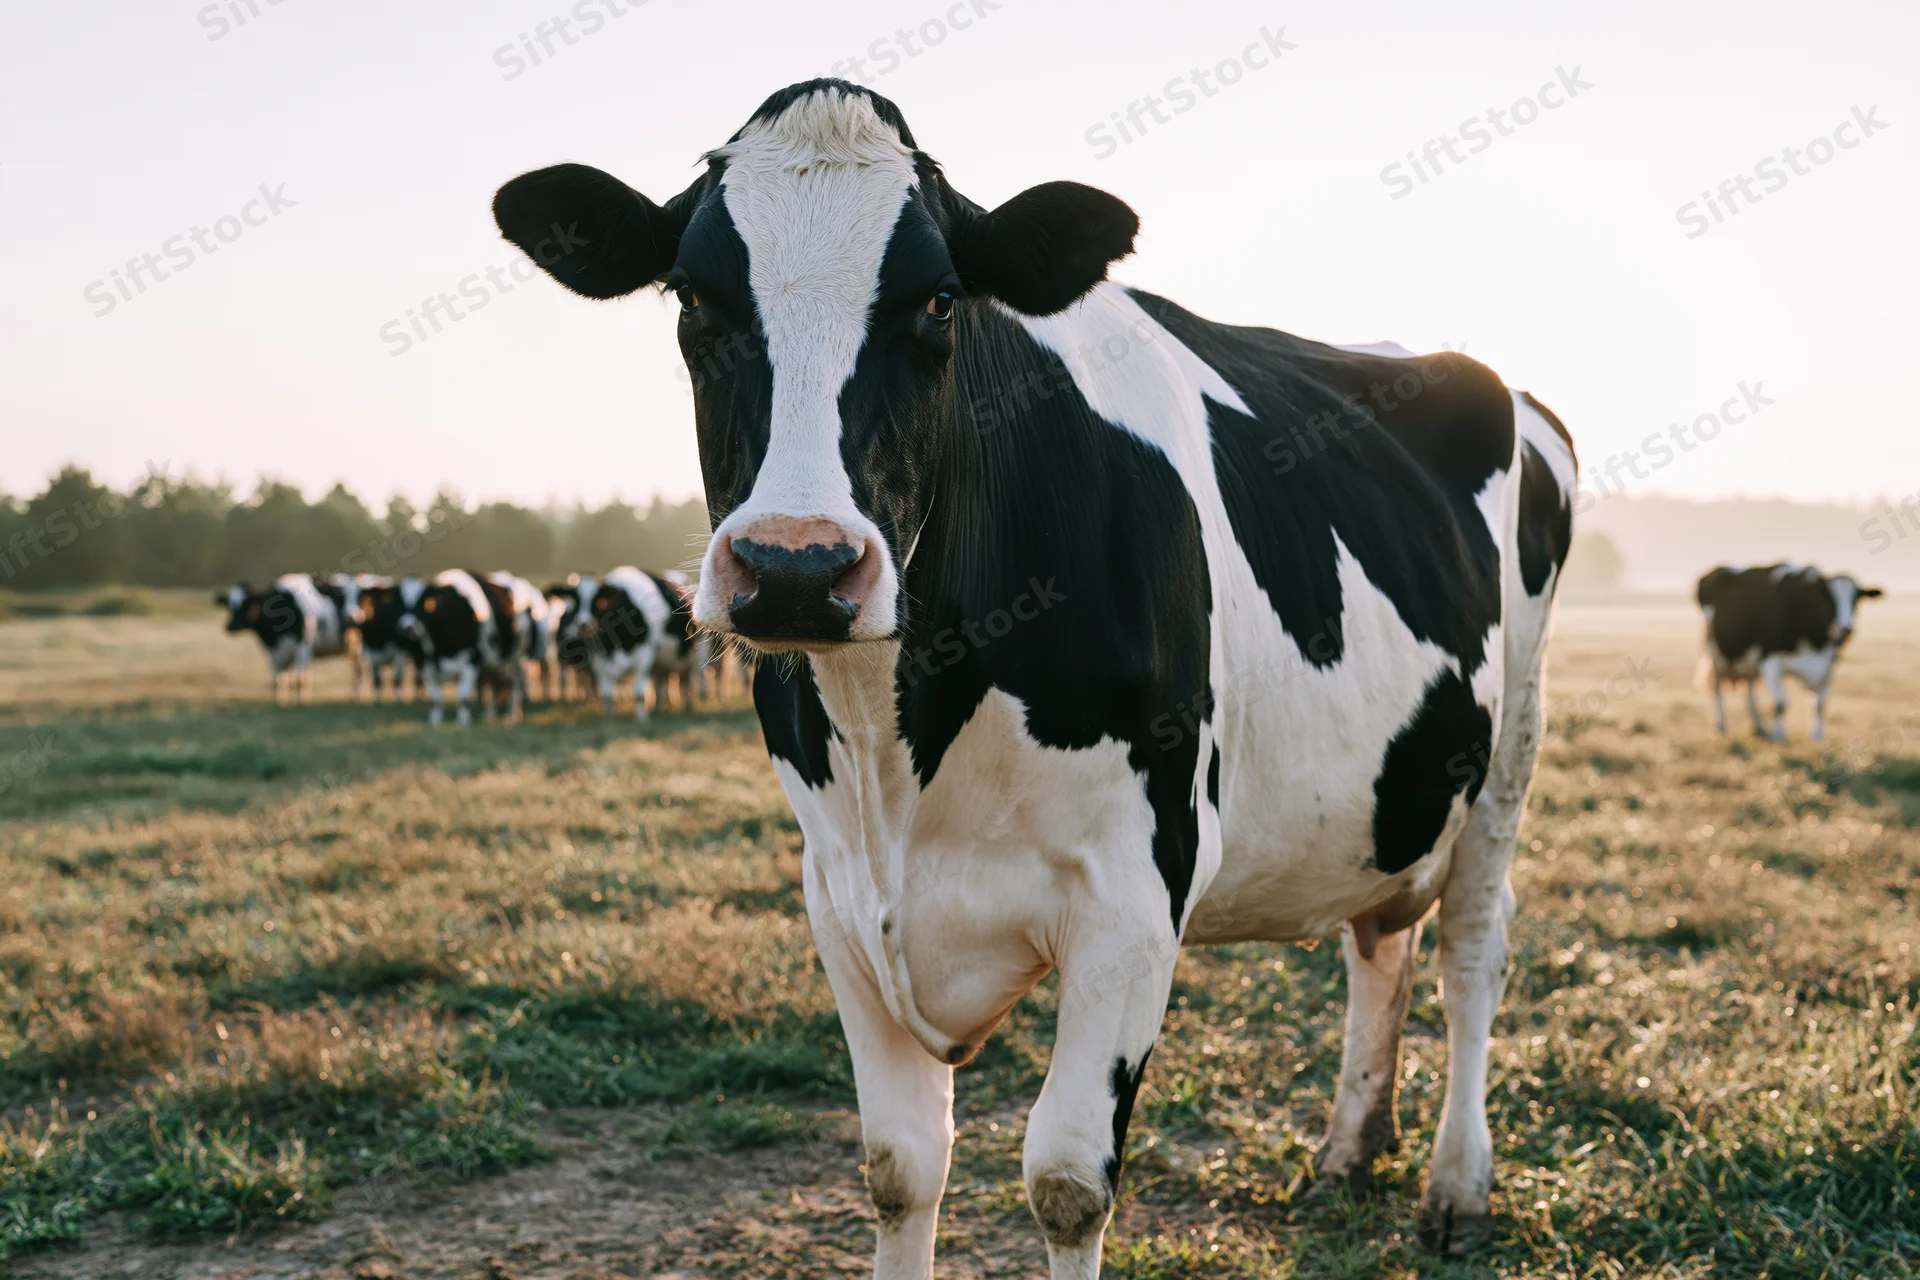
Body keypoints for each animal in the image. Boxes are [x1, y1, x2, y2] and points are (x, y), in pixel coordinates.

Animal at [216, 573, 348, 705]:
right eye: (229, 605)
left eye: (247, 604)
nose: (230, 626)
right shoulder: (274, 653)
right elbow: (278, 681)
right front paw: (279, 703)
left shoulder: (304, 648)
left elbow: (301, 679)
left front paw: (302, 703)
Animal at [549, 566, 701, 719]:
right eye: (575, 600)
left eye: (598, 601)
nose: (583, 624)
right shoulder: (598, 658)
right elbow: (607, 694)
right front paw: (609, 720)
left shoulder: (644, 654)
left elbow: (639, 692)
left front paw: (642, 720)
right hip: (661, 662)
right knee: (661, 680)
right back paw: (657, 708)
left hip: (692, 655)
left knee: (688, 680)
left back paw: (689, 708)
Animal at [1697, 564, 1882, 741]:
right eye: (1829, 598)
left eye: (1856, 599)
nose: (1844, 629)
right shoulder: (1769, 659)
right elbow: (1781, 702)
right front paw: (1779, 735)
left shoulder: (1829, 663)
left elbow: (1820, 704)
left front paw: (1818, 736)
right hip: (1712, 653)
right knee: (1716, 689)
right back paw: (1720, 725)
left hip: (1748, 662)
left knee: (1750, 688)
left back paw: (1759, 728)